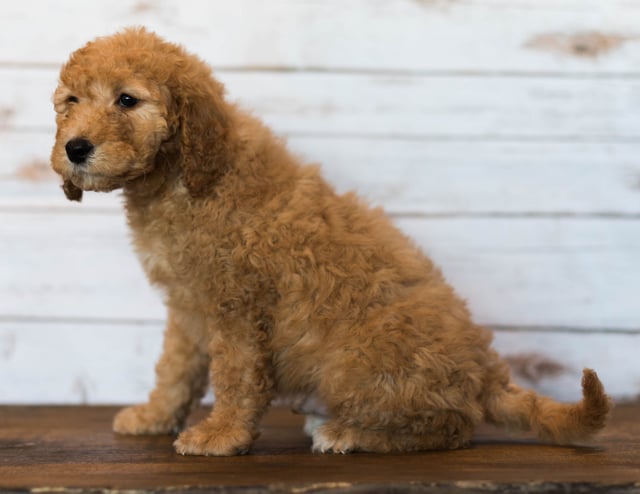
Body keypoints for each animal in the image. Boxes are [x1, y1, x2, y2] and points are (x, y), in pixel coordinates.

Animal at [50, 29, 608, 456]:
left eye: (127, 99)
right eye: (71, 102)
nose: (76, 148)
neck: (181, 178)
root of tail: (487, 371)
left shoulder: (237, 307)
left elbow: (235, 375)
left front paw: (221, 436)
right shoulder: (188, 307)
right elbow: (176, 368)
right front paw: (154, 415)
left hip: (358, 361)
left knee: (450, 428)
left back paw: (347, 433)